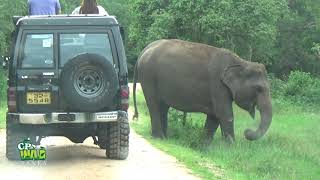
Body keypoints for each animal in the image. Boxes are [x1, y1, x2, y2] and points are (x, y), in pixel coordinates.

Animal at [133, 39, 272, 143]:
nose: (247, 132)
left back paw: (164, 138)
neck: (241, 62)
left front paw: (206, 146)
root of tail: (143, 51)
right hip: (148, 76)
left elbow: (214, 116)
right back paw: (159, 138)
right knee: (154, 104)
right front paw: (231, 147)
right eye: (259, 89)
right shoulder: (218, 85)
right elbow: (225, 114)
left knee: (162, 106)